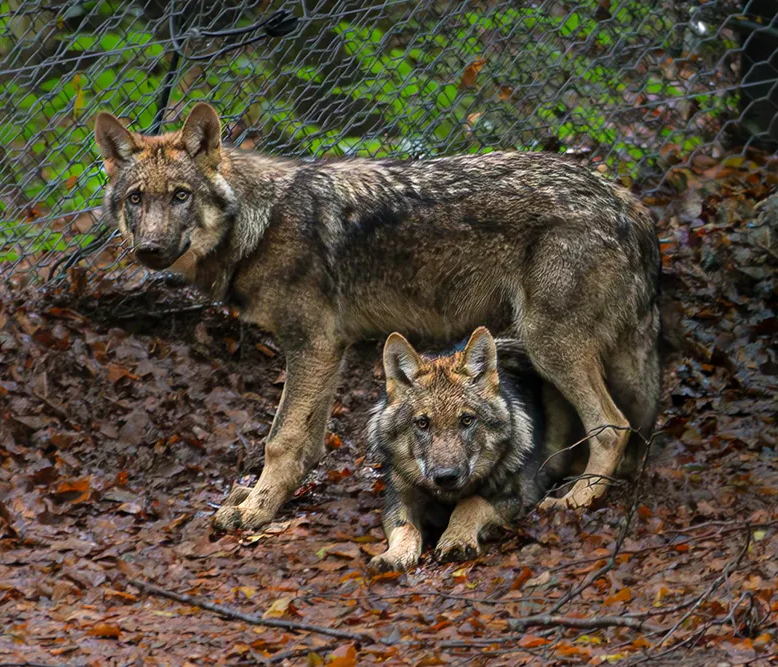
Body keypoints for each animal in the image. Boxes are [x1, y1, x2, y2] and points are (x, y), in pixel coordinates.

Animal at [93, 103, 661, 531]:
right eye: (137, 199)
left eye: (181, 196)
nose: (149, 249)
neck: (261, 223)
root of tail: (624, 198)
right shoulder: (328, 350)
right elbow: (306, 445)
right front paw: (266, 499)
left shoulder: (313, 345)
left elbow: (280, 439)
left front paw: (256, 511)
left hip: (548, 344)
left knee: (612, 425)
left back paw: (579, 499)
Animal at [367, 327, 582, 571]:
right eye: (422, 423)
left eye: (467, 420)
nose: (446, 477)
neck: (448, 497)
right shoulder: (398, 499)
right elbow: (404, 527)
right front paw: (393, 556)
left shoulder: (514, 496)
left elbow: (471, 502)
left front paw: (457, 539)